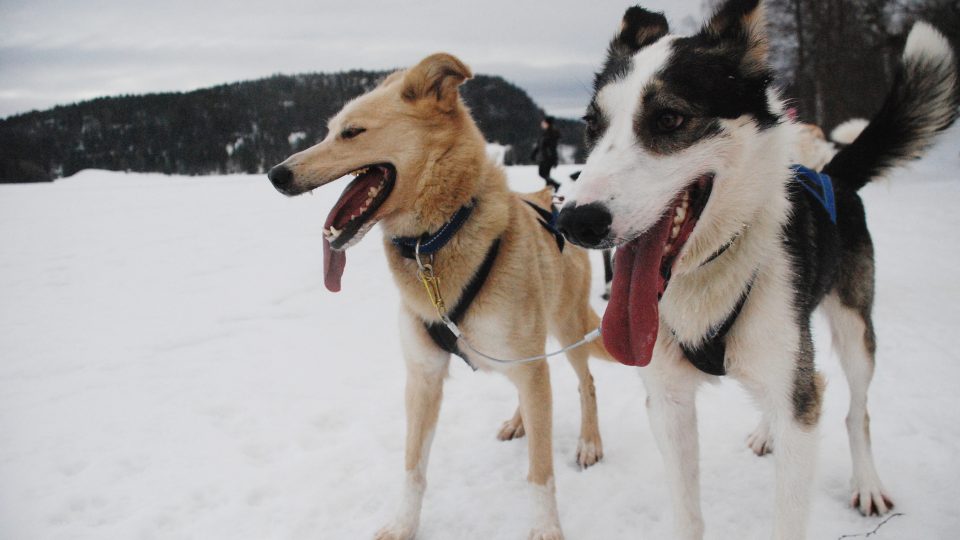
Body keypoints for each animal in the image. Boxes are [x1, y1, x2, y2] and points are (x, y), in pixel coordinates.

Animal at [264, 53, 608, 540]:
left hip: (566, 327)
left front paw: (544, 527)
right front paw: (403, 524)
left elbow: (540, 472)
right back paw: (520, 420)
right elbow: (413, 466)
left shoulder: (527, 364)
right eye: (329, 130)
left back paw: (589, 442)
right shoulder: (423, 377)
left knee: (585, 383)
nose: (276, 174)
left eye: (352, 132)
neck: (433, 241)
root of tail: (550, 197)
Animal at [556, 2, 960, 536]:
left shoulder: (800, 410)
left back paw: (867, 483)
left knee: (856, 412)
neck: (712, 269)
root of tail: (832, 177)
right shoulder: (668, 402)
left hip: (855, 333)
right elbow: (688, 512)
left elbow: (790, 506)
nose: (574, 221)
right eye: (592, 124)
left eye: (669, 118)